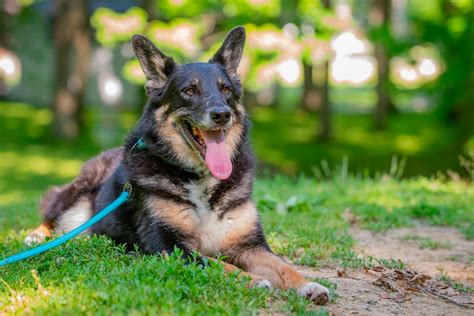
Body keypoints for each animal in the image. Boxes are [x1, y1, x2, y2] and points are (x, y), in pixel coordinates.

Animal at [25, 26, 330, 304]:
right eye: (189, 91)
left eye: (226, 89)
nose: (222, 114)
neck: (202, 179)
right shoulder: (171, 247)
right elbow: (217, 264)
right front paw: (253, 280)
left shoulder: (250, 245)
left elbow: (283, 266)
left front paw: (309, 285)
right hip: (75, 192)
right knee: (52, 213)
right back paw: (35, 237)